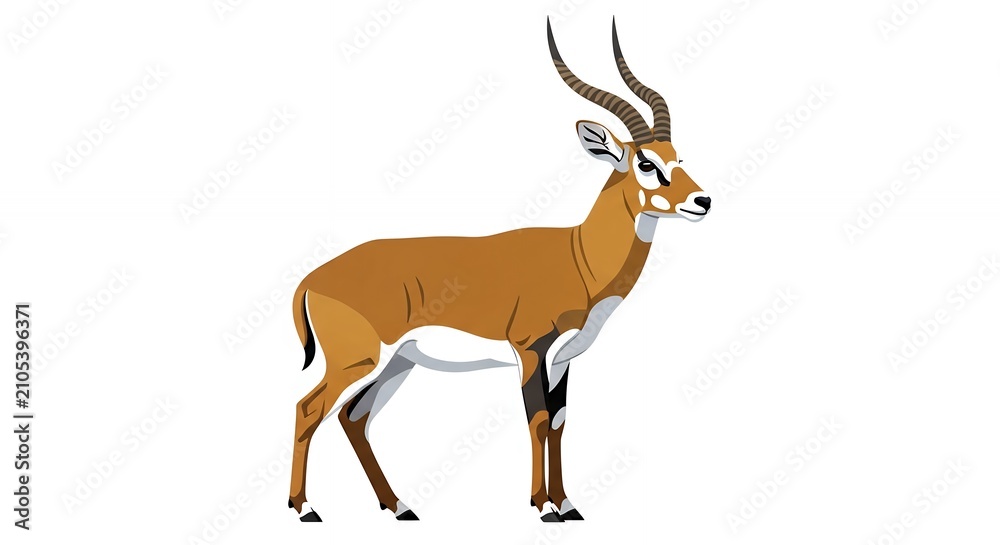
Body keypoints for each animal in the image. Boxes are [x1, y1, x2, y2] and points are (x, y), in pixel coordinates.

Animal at [287, 18, 711, 523]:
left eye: (679, 159)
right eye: (647, 163)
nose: (702, 201)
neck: (577, 257)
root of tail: (311, 279)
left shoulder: (563, 359)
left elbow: (560, 422)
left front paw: (568, 505)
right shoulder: (530, 350)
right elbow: (538, 419)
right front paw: (543, 506)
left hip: (397, 363)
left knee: (354, 418)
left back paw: (399, 506)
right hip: (360, 361)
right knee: (309, 408)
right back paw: (304, 509)